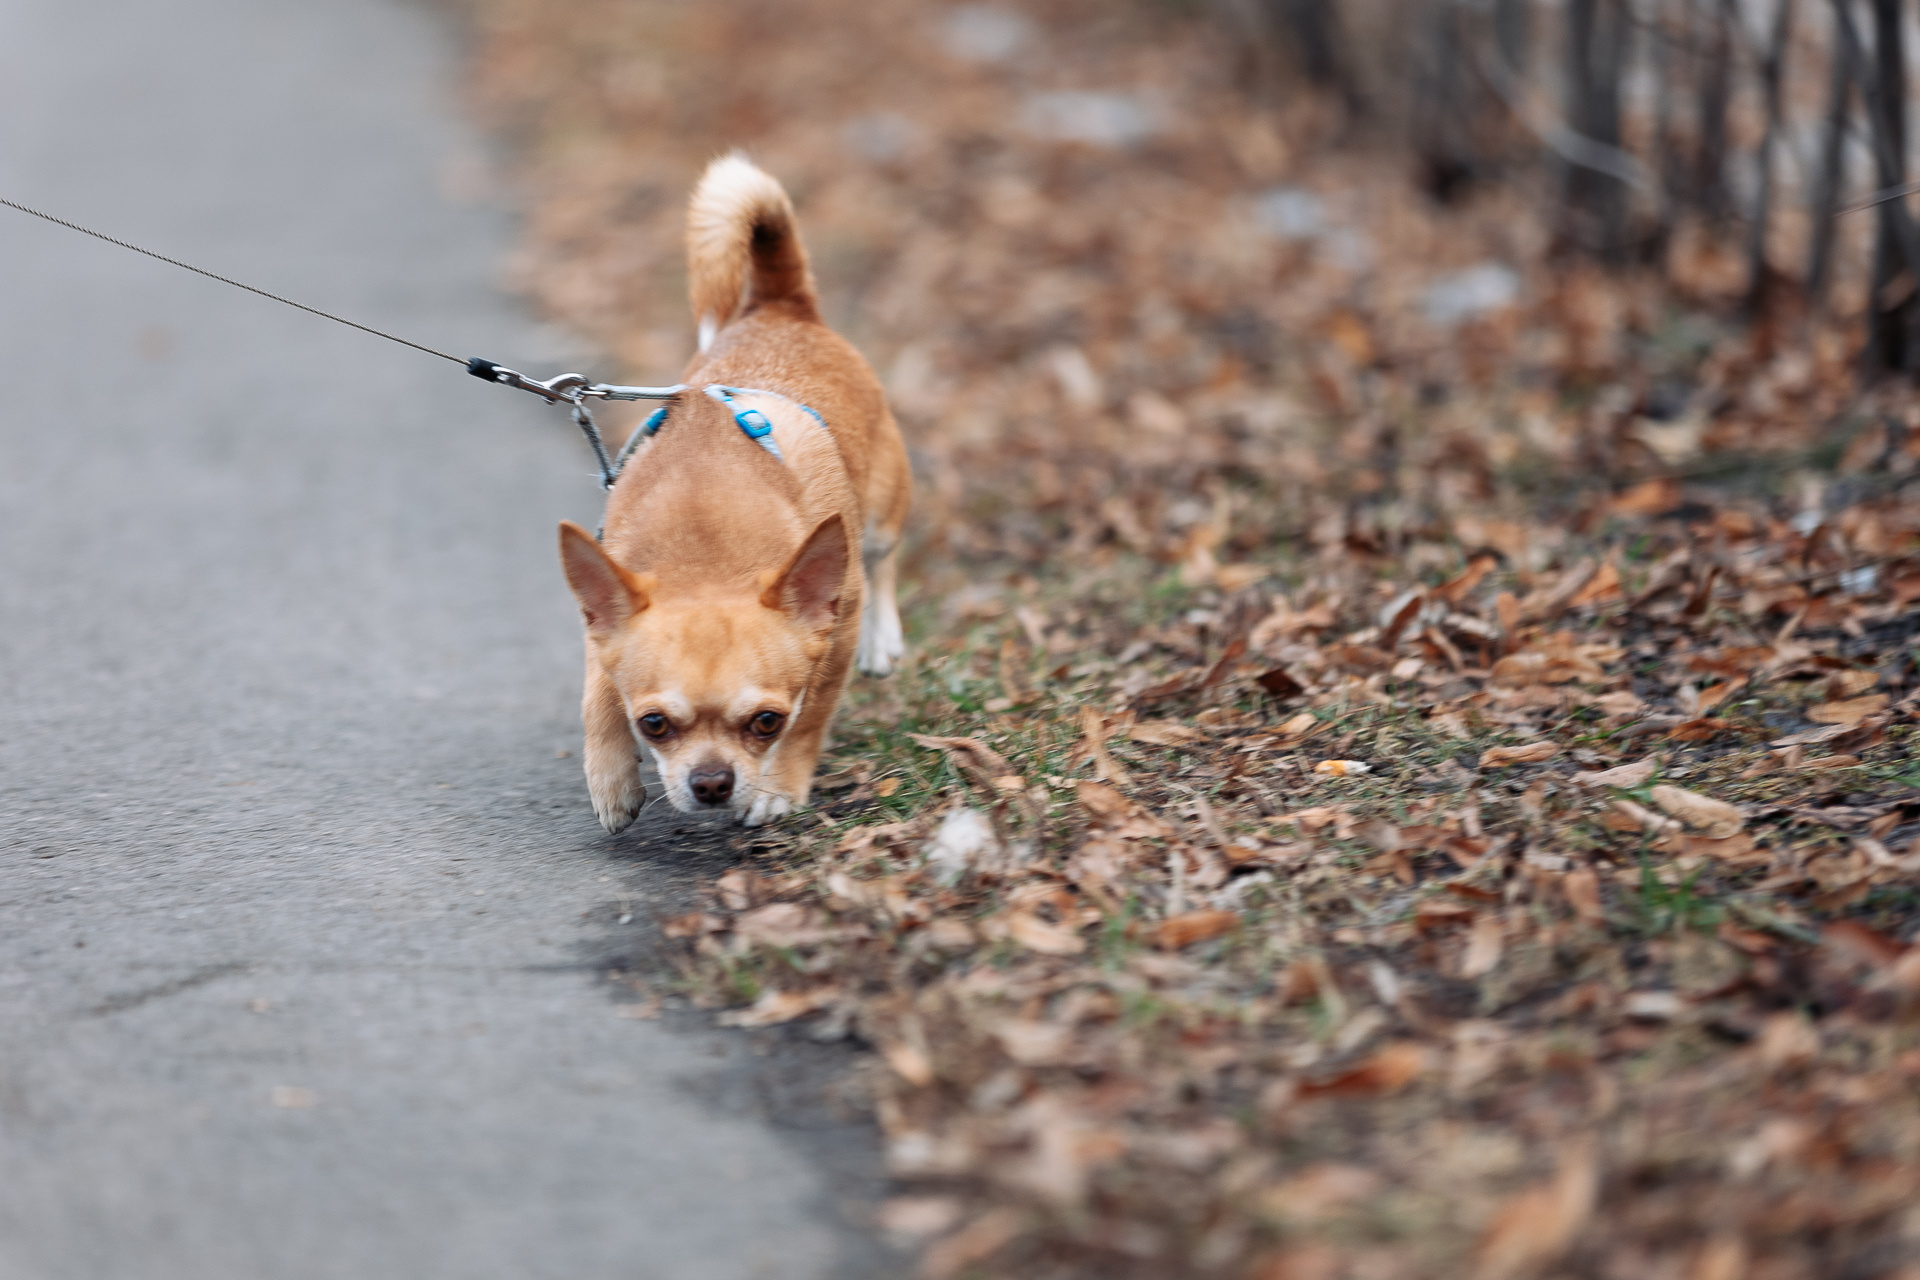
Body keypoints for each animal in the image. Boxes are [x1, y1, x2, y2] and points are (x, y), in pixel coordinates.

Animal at [560, 155, 910, 832]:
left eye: (766, 722)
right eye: (653, 724)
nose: (712, 783)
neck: (705, 547)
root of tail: (783, 307)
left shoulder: (836, 626)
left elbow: (814, 714)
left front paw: (780, 787)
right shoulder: (603, 623)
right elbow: (596, 695)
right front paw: (610, 777)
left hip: (880, 517)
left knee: (885, 565)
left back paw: (884, 640)